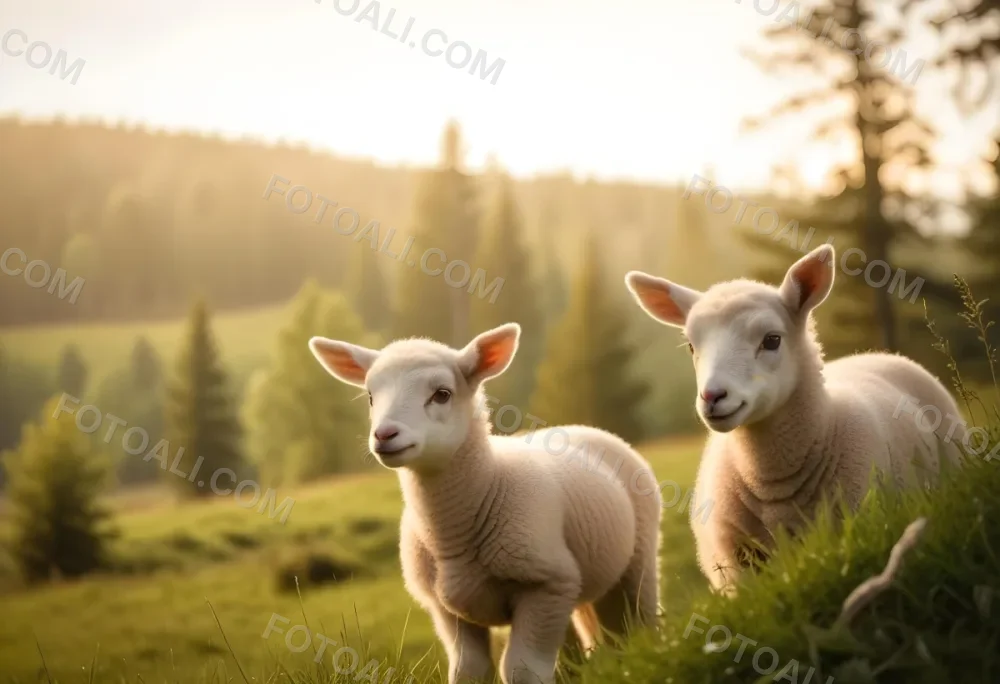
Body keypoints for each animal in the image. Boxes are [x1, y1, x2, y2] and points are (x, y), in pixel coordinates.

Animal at [308, 323, 662, 684]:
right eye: (370, 396)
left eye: (442, 394)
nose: (384, 435)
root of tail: (582, 428)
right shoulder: (447, 609)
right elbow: (469, 669)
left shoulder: (544, 586)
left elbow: (522, 670)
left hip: (637, 561)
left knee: (640, 625)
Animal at [624, 244, 964, 594]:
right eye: (692, 346)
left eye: (772, 340)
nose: (712, 396)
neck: (774, 485)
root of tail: (879, 355)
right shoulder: (737, 568)